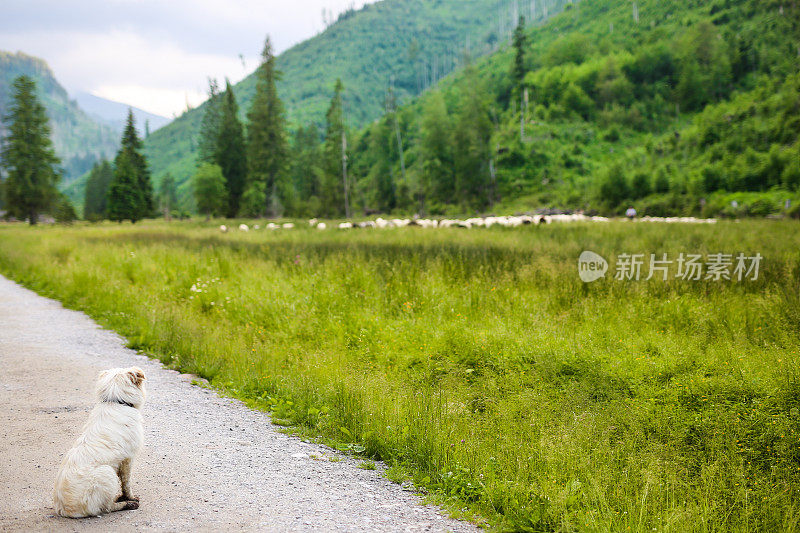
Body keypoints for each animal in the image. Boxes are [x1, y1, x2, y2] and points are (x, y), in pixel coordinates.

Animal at [54, 366, 146, 516]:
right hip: (106, 472)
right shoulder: (128, 459)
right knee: (106, 507)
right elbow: (126, 483)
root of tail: (65, 509)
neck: (115, 401)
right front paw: (130, 497)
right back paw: (127, 504)